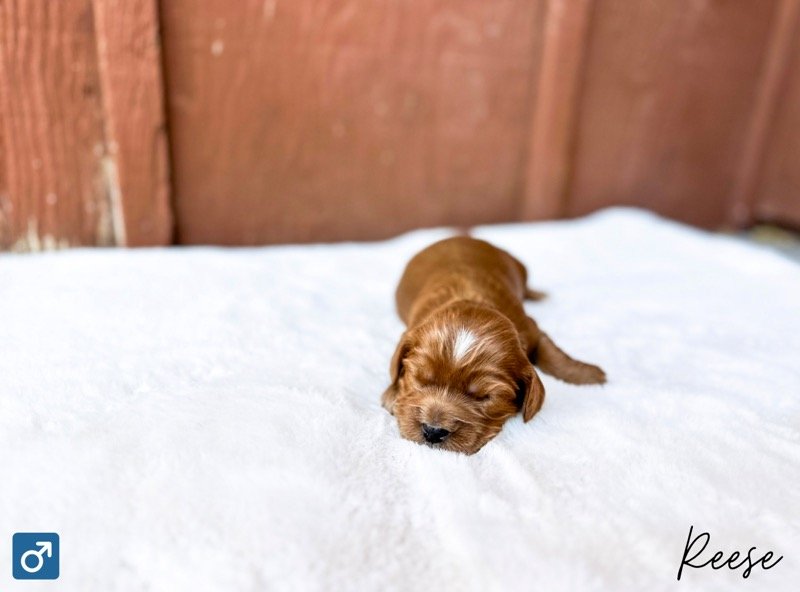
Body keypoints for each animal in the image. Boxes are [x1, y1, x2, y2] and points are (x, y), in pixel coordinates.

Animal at [384, 236, 604, 454]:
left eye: (484, 397)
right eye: (420, 380)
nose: (433, 431)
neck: (473, 299)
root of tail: (461, 236)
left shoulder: (530, 328)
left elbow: (553, 354)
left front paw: (590, 375)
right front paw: (391, 394)